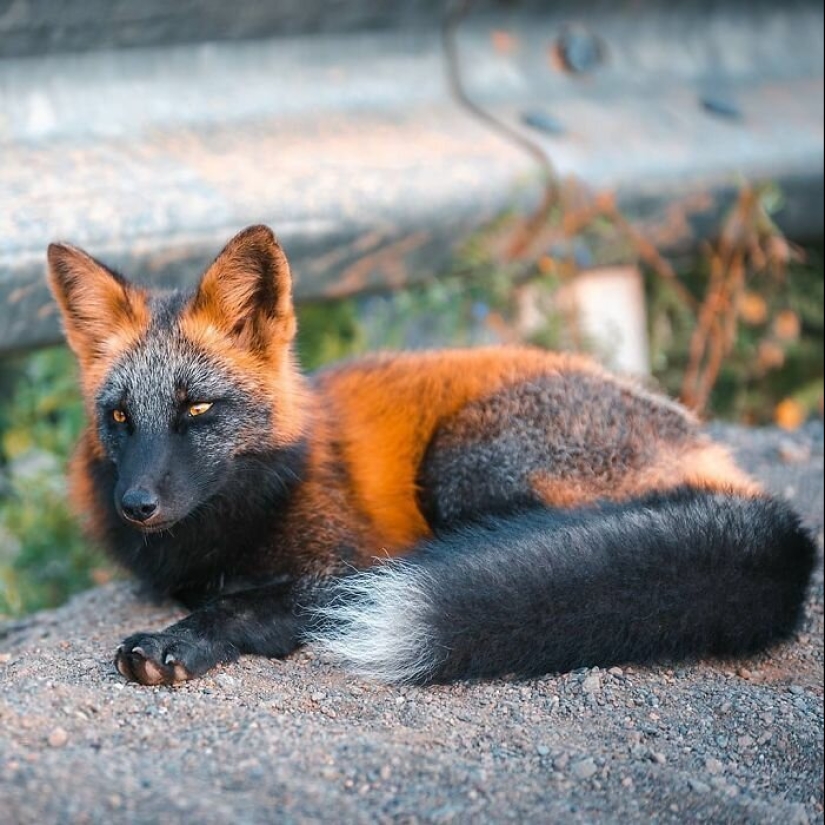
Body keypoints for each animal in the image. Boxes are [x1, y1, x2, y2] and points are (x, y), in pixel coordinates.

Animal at [46, 222, 816, 684]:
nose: (137, 504)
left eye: (197, 409)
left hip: (461, 465)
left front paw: (179, 639)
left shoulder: (345, 567)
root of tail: (718, 458)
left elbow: (243, 608)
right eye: (120, 416)